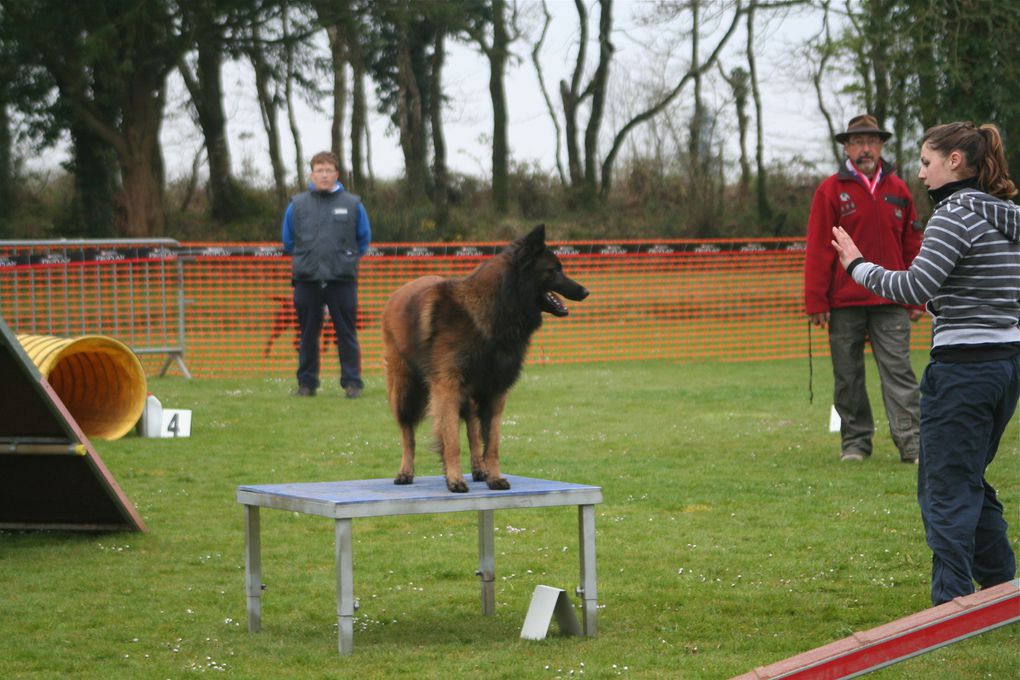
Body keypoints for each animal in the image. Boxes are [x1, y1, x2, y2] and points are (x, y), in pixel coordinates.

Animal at [381, 226, 591, 491]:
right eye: (554, 270)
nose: (585, 291)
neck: (494, 311)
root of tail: (397, 293)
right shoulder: (447, 387)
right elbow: (450, 439)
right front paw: (454, 479)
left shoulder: (495, 390)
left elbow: (491, 442)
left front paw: (493, 476)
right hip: (404, 390)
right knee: (407, 433)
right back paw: (405, 472)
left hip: (469, 393)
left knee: (472, 429)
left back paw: (478, 469)